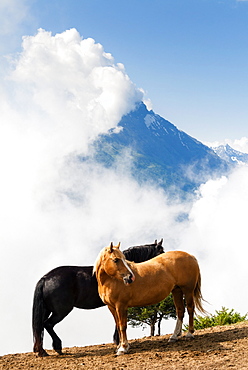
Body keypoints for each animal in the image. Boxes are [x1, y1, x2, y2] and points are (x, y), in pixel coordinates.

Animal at [33, 238, 165, 356]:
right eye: (161, 252)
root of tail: (45, 278)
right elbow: (118, 323)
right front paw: (119, 343)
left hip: (47, 310)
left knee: (40, 327)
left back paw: (42, 351)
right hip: (61, 311)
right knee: (48, 324)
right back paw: (57, 347)